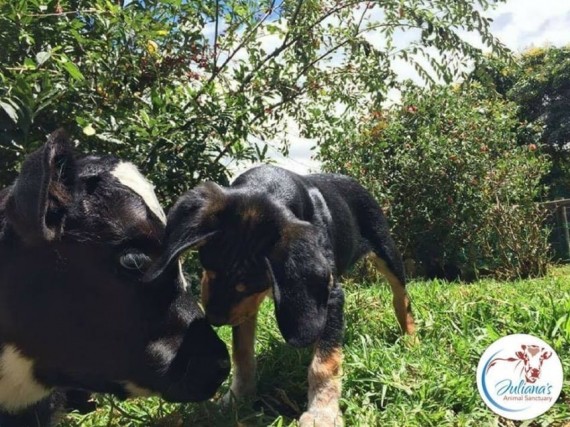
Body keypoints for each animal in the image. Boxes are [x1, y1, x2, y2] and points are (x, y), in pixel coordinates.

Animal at [144, 166, 414, 426]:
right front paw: (237, 398)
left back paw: (410, 339)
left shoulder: (330, 296)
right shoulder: (246, 309)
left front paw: (322, 413)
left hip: (386, 250)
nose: (215, 319)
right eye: (209, 270)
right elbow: (242, 353)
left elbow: (324, 363)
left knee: (401, 297)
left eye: (249, 285)